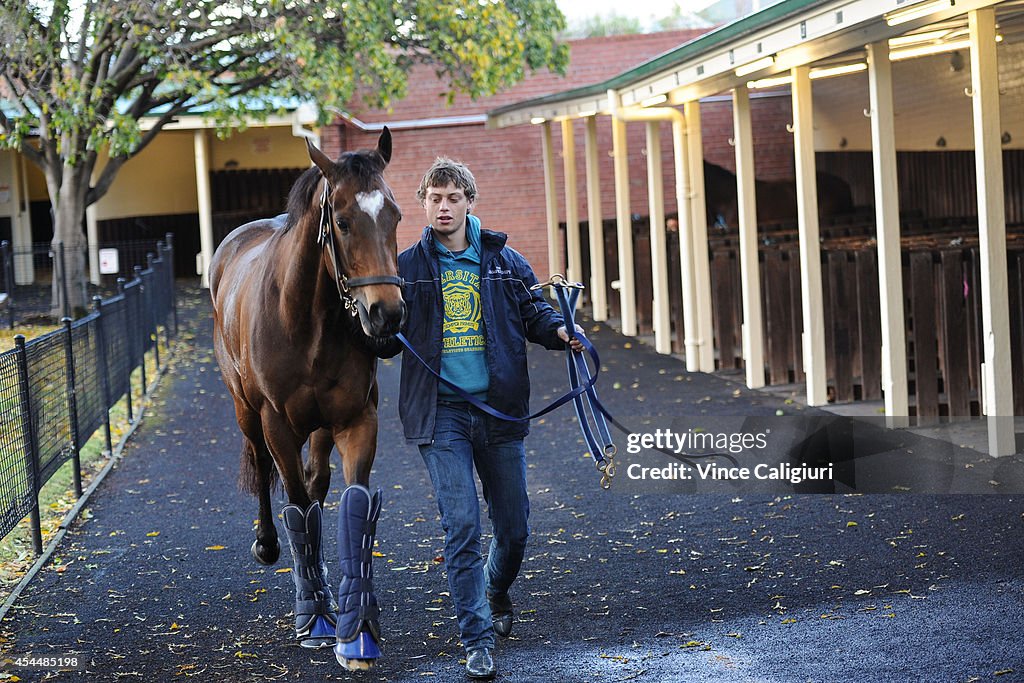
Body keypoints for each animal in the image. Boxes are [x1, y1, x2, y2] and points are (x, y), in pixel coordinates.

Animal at [208, 131, 403, 671]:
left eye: (395, 216)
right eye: (342, 221)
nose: (387, 315)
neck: (308, 319)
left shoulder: (357, 420)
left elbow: (352, 504)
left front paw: (357, 629)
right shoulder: (277, 424)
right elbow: (294, 502)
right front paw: (313, 617)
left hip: (318, 428)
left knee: (317, 487)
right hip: (246, 412)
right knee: (268, 475)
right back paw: (271, 547)